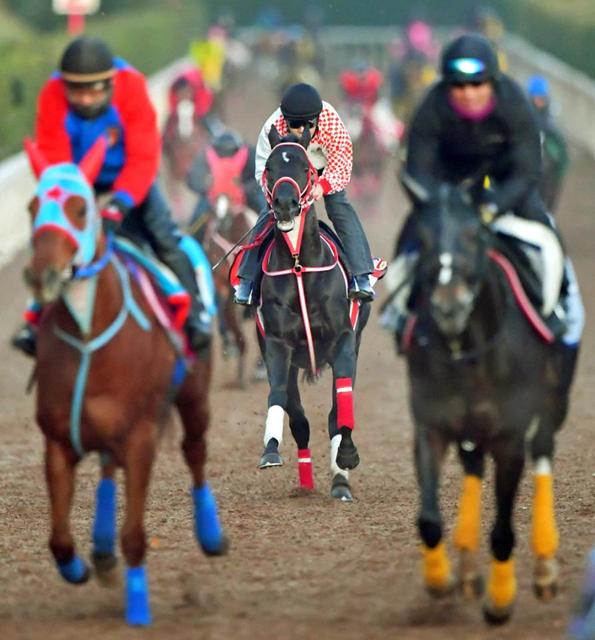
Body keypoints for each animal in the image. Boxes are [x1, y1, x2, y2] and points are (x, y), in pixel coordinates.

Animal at [22, 140, 227, 624]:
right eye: (33, 207)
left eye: (80, 208)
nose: (43, 275)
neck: (89, 331)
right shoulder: (58, 439)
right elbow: (59, 541)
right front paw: (81, 566)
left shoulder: (140, 437)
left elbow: (134, 534)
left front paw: (136, 605)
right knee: (106, 467)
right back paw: (100, 553)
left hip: (194, 398)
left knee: (194, 451)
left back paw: (211, 535)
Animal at [255, 127, 372, 502]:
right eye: (270, 168)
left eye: (305, 167)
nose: (285, 204)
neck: (299, 267)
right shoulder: (278, 344)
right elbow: (282, 398)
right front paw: (270, 449)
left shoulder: (344, 340)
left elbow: (340, 408)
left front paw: (345, 462)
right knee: (299, 420)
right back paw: (305, 482)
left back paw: (340, 480)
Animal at [400, 185, 576, 624]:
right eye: (420, 239)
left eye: (473, 234)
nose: (448, 304)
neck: (467, 350)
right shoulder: (432, 426)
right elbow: (428, 519)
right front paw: (441, 578)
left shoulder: (509, 438)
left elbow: (502, 530)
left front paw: (500, 601)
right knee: (473, 465)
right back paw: (465, 568)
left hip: (554, 403)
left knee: (543, 450)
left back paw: (544, 570)